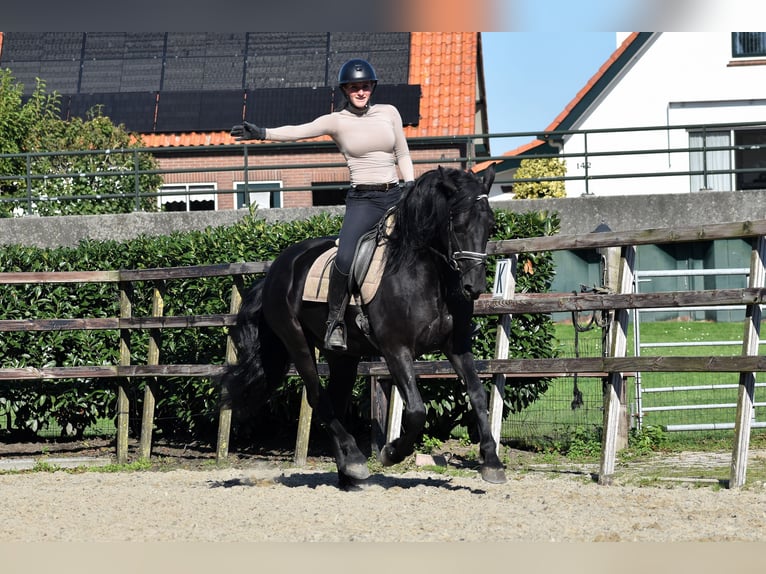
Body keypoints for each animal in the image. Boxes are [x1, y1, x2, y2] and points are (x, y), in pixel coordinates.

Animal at [225, 164, 508, 488]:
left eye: (490, 225)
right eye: (457, 224)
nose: (474, 287)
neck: (427, 274)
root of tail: (277, 269)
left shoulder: (457, 345)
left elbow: (477, 394)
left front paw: (492, 462)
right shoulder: (396, 350)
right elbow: (416, 410)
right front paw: (391, 452)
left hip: (343, 356)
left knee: (335, 400)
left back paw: (347, 472)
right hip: (297, 342)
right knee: (318, 397)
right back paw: (356, 462)